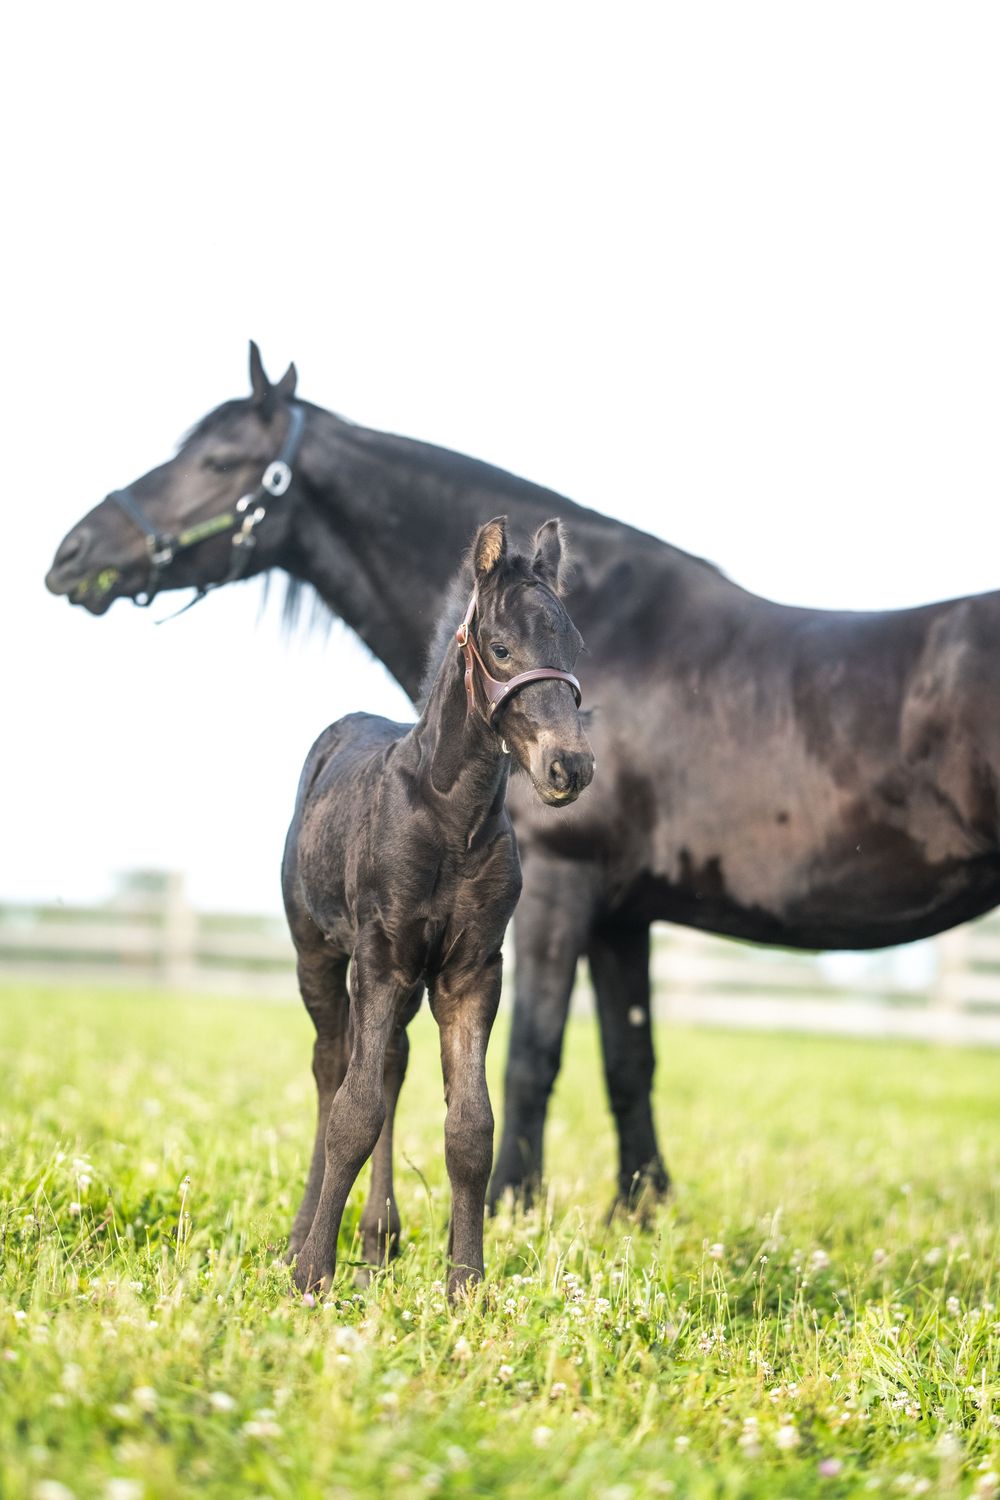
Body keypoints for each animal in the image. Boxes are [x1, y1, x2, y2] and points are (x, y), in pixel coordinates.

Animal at [47, 343, 1000, 1216]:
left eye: (217, 461)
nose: (71, 554)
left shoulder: (558, 887)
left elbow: (531, 1057)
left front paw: (510, 1206)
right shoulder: (622, 913)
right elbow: (629, 1060)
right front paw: (639, 1211)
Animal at [283, 516, 592, 1295]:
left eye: (575, 649)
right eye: (501, 647)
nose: (571, 767)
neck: (450, 819)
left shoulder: (471, 971)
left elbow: (471, 1127)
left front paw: (465, 1287)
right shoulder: (380, 959)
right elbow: (352, 1110)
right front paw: (313, 1276)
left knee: (391, 1063)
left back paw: (378, 1239)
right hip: (318, 955)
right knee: (332, 1068)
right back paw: (303, 1238)